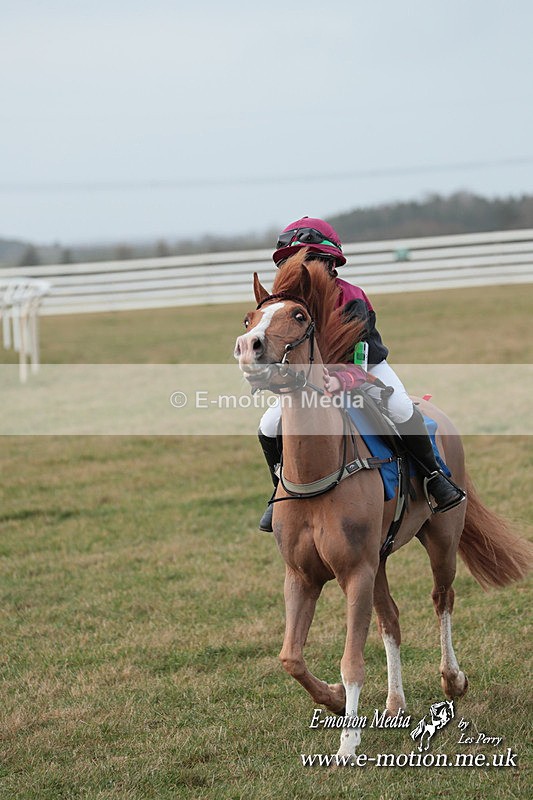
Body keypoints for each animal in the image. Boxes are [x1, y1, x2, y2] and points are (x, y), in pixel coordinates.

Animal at [234, 249, 532, 759]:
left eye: (299, 316)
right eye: (251, 318)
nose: (248, 346)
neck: (320, 471)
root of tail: (435, 411)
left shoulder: (354, 572)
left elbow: (352, 659)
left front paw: (347, 744)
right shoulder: (304, 576)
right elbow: (291, 656)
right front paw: (335, 701)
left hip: (441, 539)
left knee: (442, 598)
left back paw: (452, 680)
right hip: (380, 558)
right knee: (391, 619)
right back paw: (395, 703)